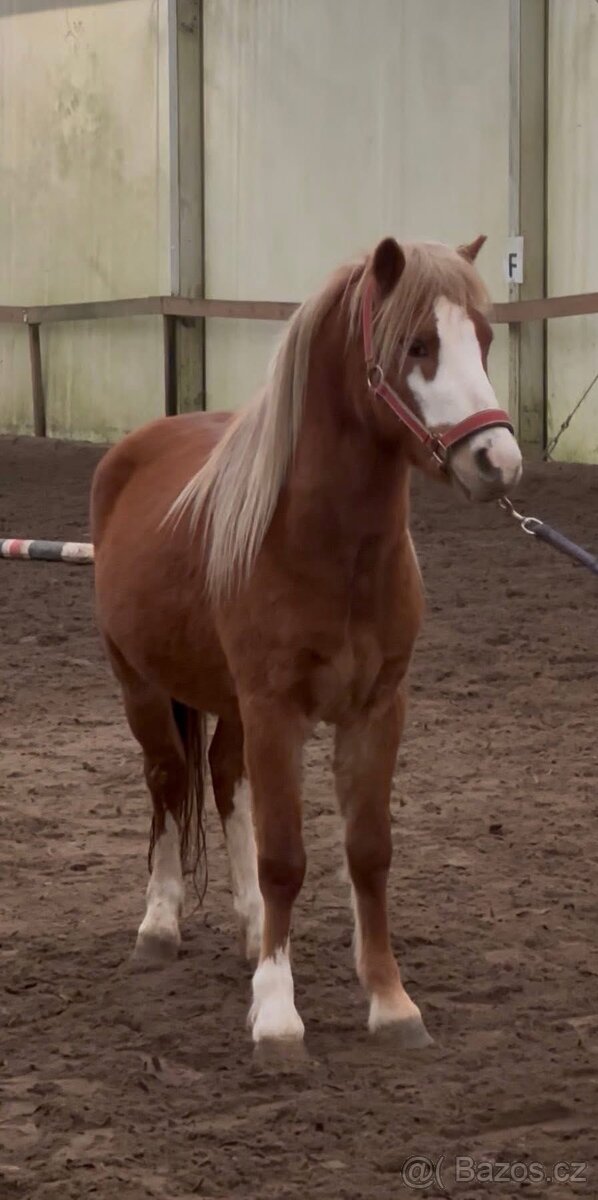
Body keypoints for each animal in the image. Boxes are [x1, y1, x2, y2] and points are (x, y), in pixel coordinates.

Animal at [91, 235, 522, 1050]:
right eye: (417, 345)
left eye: (483, 339)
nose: (498, 463)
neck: (324, 548)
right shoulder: (275, 710)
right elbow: (286, 857)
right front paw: (278, 1016)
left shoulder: (377, 710)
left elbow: (368, 851)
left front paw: (390, 1003)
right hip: (140, 683)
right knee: (168, 781)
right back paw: (158, 928)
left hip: (228, 704)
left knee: (223, 781)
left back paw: (251, 927)